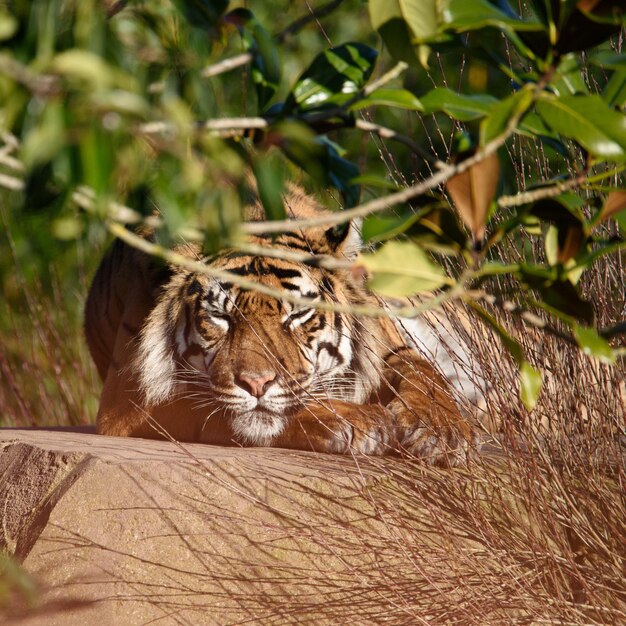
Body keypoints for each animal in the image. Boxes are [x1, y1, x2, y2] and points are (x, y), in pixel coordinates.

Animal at [84, 184, 482, 464]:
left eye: (297, 315)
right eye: (222, 317)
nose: (256, 384)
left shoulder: (389, 345)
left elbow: (421, 370)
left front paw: (440, 430)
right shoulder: (127, 398)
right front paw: (357, 420)